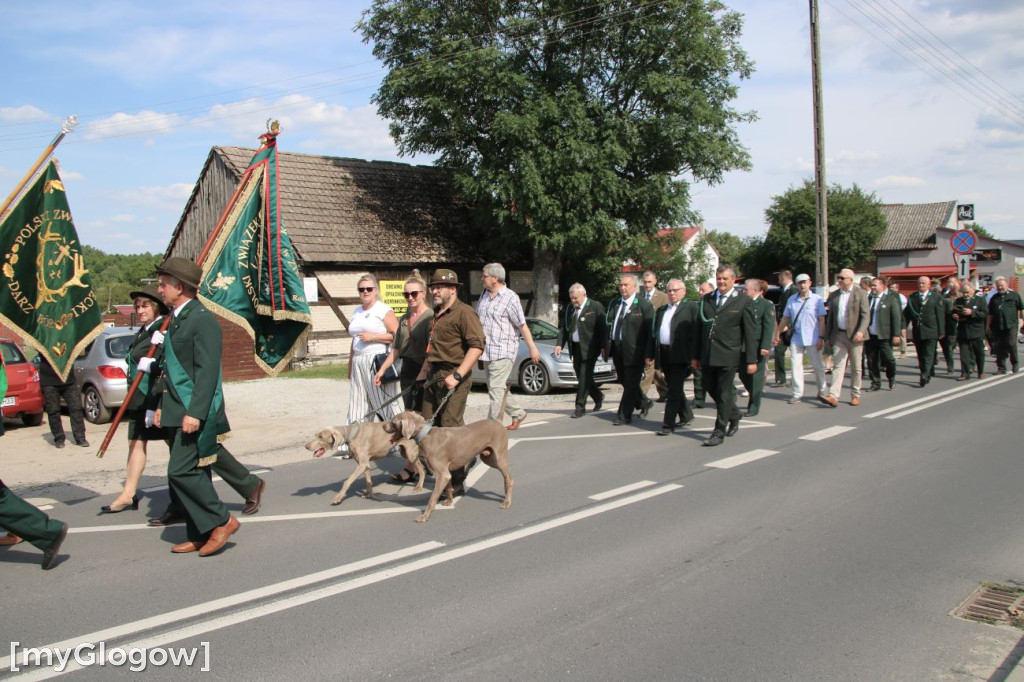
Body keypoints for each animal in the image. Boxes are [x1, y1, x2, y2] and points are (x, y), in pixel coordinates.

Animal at [382, 409, 512, 520]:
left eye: (393, 422)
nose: (383, 425)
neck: (425, 434)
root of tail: (497, 420)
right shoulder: (446, 472)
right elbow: (449, 488)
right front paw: (449, 501)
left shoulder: (441, 474)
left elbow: (432, 498)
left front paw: (424, 516)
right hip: (487, 458)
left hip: (499, 458)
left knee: (509, 480)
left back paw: (506, 502)